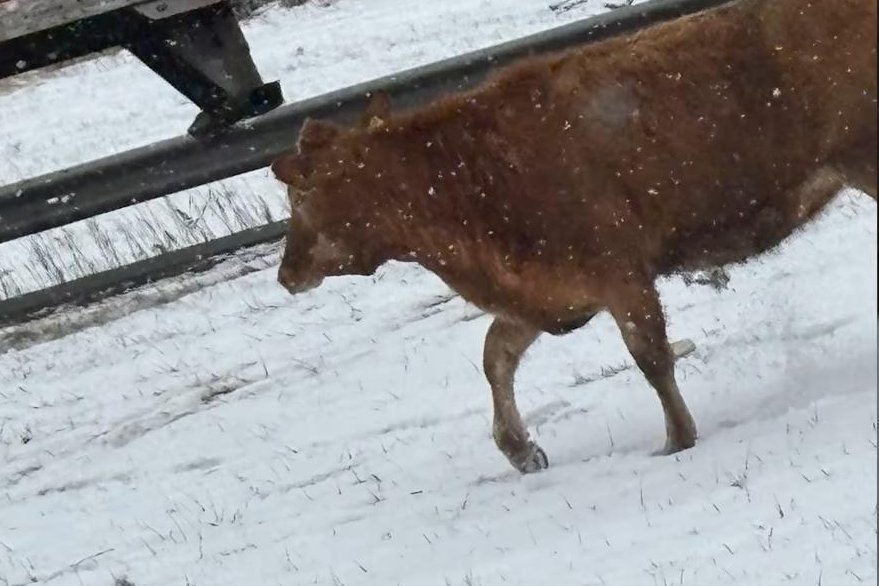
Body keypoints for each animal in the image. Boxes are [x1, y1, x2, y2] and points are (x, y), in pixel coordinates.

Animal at [271, 0, 877, 474]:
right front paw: (520, 451)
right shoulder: (552, 293)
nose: (286, 273)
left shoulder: (619, 271)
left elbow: (649, 355)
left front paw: (677, 440)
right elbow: (495, 354)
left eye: (298, 196)